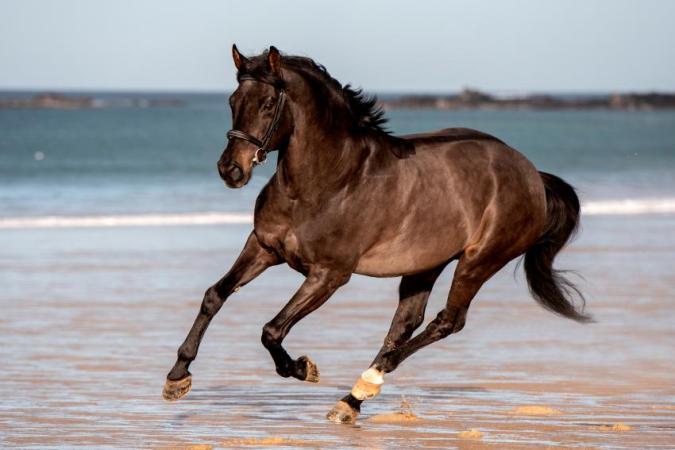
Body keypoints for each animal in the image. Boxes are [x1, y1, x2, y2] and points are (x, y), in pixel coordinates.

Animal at [163, 45, 590, 424]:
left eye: (268, 104)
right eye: (233, 100)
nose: (230, 171)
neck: (327, 180)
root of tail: (531, 173)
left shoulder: (329, 275)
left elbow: (272, 330)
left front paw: (303, 368)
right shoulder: (264, 247)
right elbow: (215, 296)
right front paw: (177, 378)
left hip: (479, 260)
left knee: (447, 321)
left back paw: (363, 386)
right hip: (426, 264)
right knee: (405, 324)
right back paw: (351, 401)